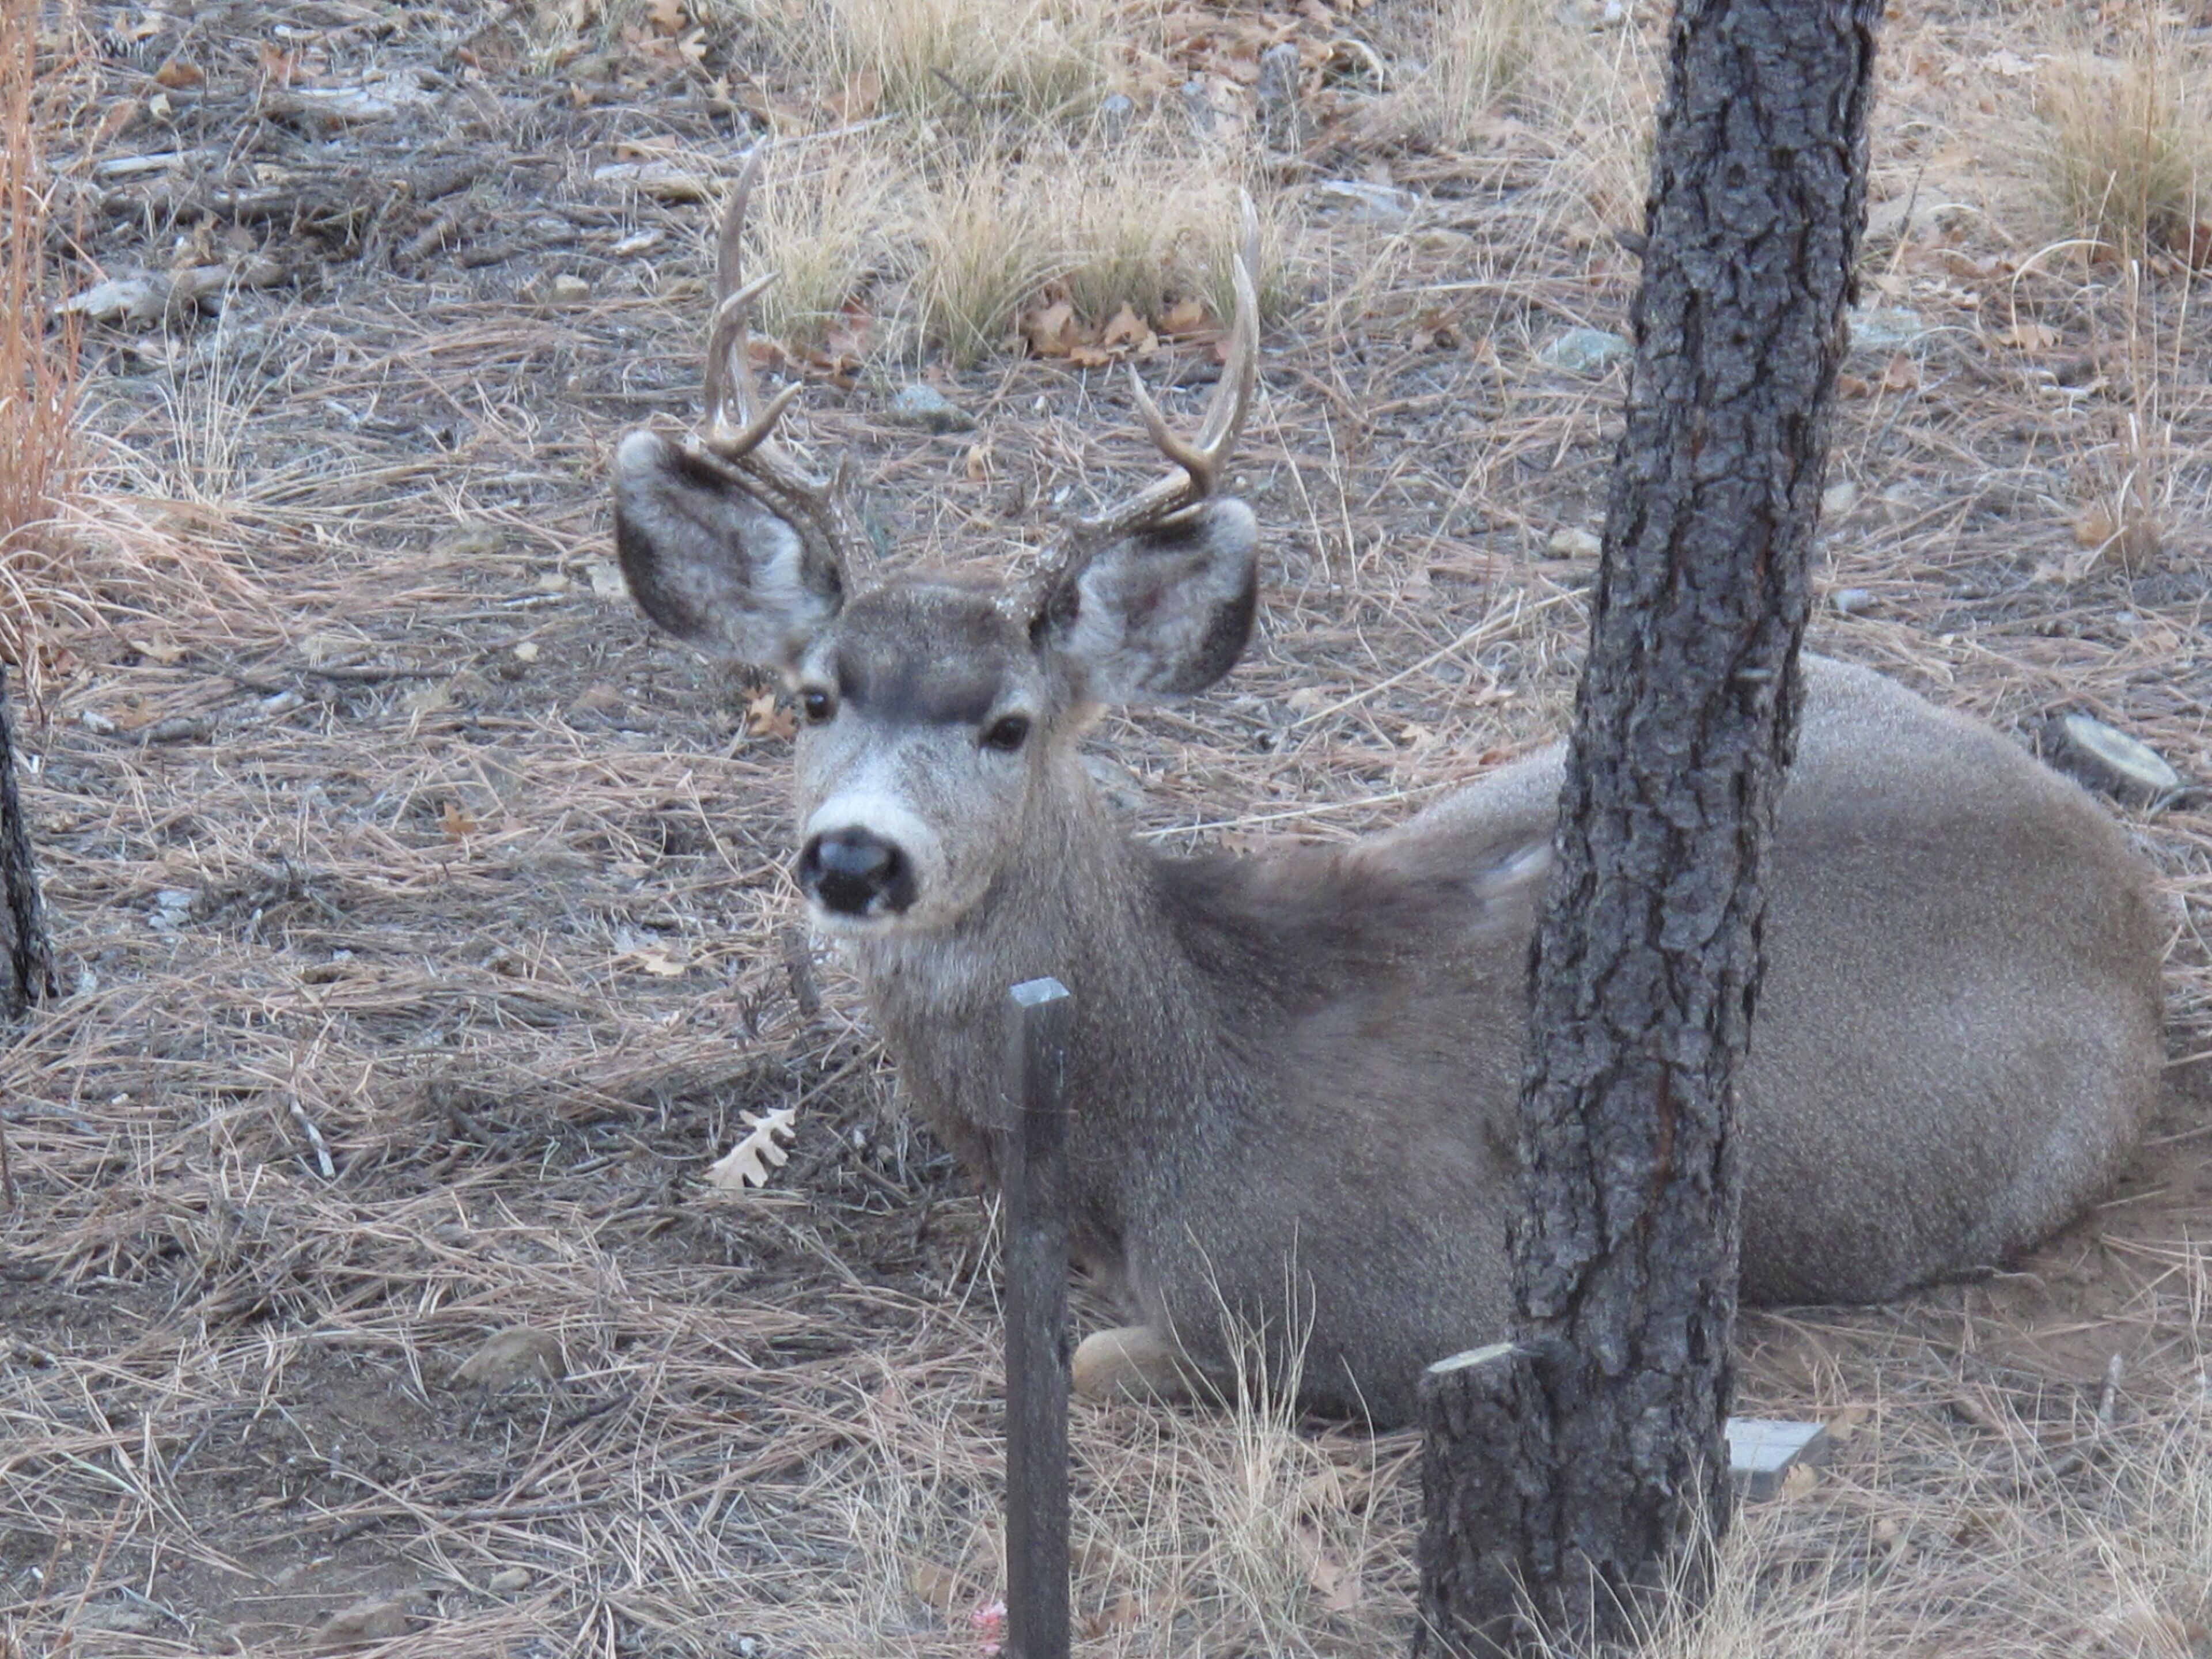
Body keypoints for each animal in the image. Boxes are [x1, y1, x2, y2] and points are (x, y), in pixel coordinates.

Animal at [609, 150, 2168, 1429]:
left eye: (1007, 723)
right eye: (816, 695)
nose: (855, 857)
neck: (1169, 1096)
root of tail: (2130, 894)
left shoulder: (1415, 1311)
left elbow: (1090, 1356)